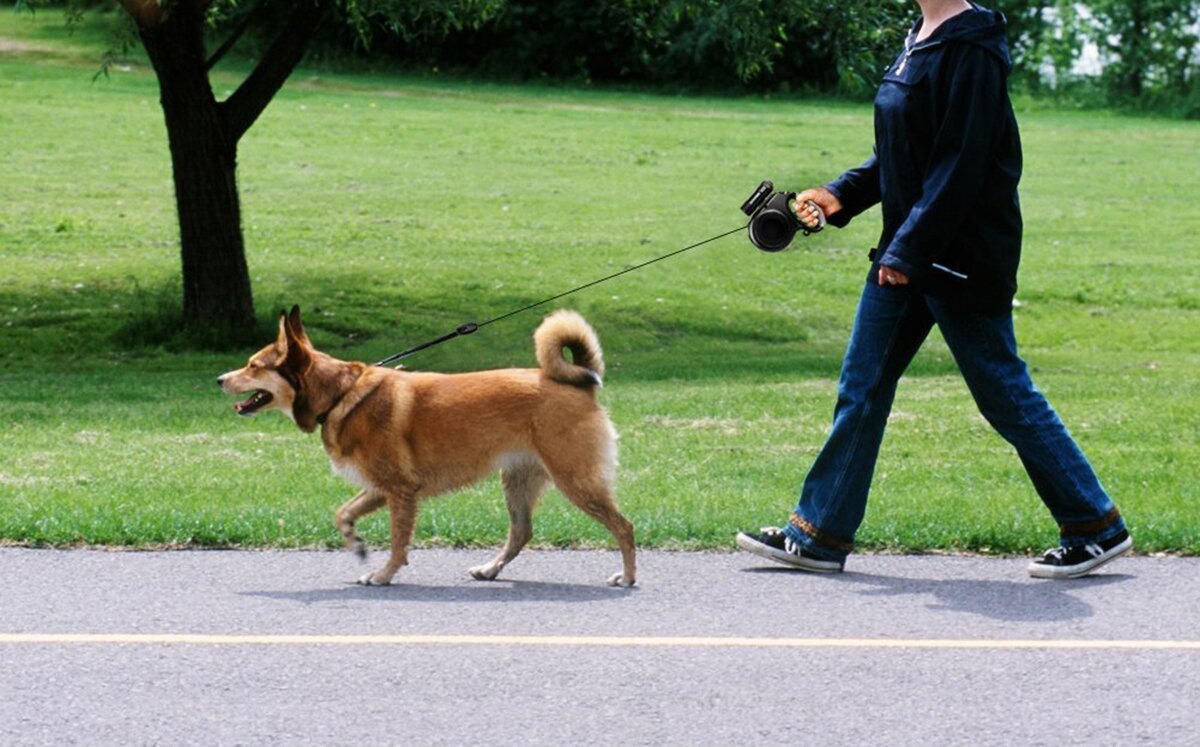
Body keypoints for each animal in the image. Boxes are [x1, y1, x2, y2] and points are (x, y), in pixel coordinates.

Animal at [213, 307, 638, 588]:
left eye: (253, 366)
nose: (219, 379)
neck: (340, 394)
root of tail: (579, 383)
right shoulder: (382, 487)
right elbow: (343, 513)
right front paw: (357, 544)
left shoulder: (401, 490)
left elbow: (398, 542)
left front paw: (383, 574)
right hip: (518, 480)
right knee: (522, 533)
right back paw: (491, 569)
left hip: (575, 479)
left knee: (624, 526)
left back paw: (629, 576)